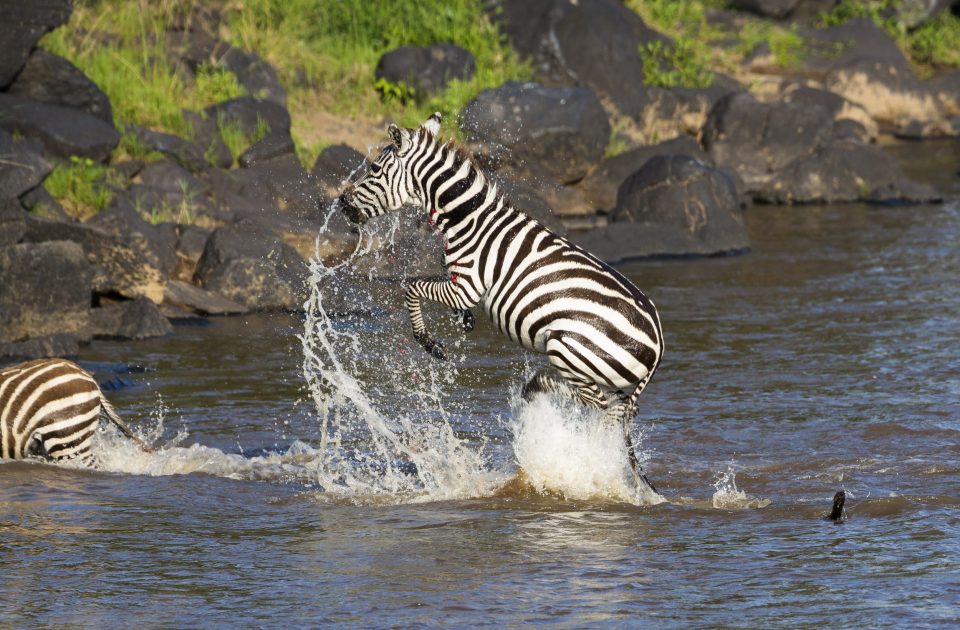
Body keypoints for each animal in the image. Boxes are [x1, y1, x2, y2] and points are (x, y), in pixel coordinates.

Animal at [340, 113, 668, 498]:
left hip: (569, 349)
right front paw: (463, 321)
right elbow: (439, 282)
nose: (343, 204)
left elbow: (412, 288)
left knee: (598, 406)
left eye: (375, 168)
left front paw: (429, 342)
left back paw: (543, 389)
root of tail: (658, 342)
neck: (467, 219)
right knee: (613, 413)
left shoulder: (468, 284)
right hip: (608, 374)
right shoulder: (458, 284)